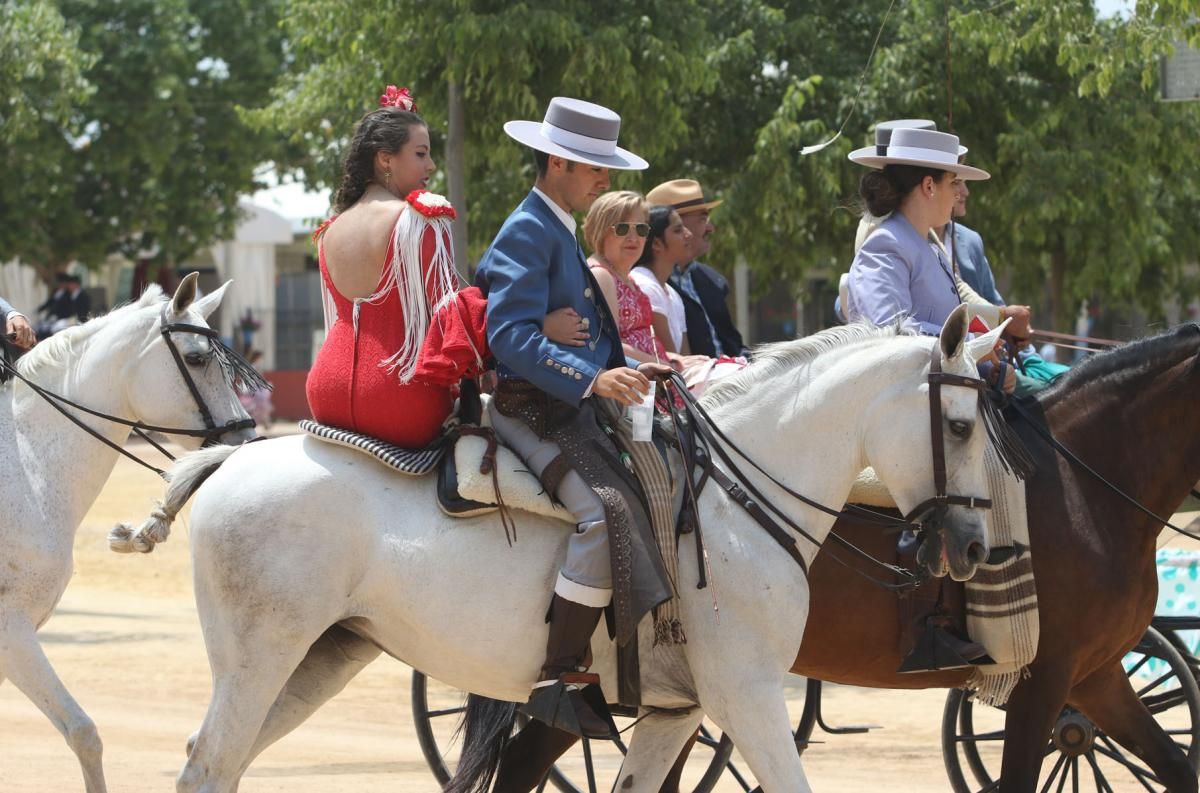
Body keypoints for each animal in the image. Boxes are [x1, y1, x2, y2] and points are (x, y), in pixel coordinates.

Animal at [129, 304, 1003, 791]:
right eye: (961, 426)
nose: (971, 543)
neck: (734, 494)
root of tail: (234, 457)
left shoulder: (675, 712)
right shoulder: (748, 697)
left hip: (323, 655)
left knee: (218, 763)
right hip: (260, 658)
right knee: (210, 763)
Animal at [489, 321, 1200, 791]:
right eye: (960, 426)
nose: (972, 547)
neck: (1080, 487)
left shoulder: (1096, 675)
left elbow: (1176, 766)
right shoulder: (1043, 679)